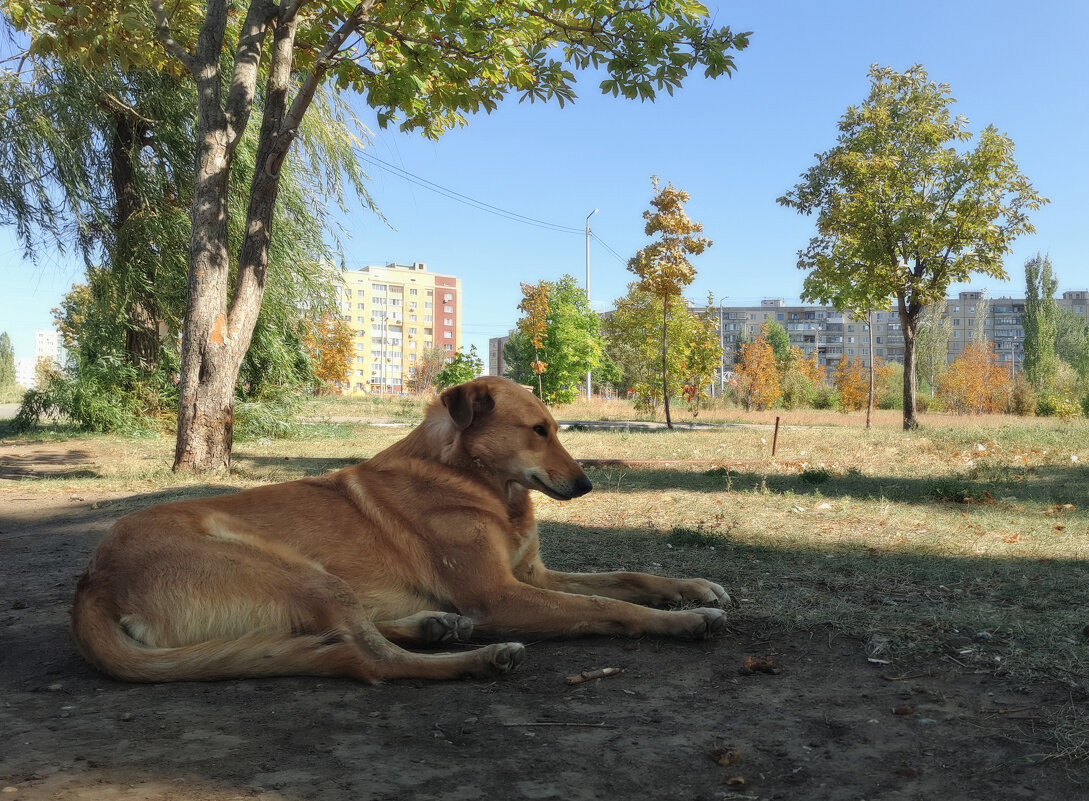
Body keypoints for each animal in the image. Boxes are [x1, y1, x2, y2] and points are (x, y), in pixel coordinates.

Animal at [72, 376, 727, 683]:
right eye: (538, 431)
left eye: (556, 428)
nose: (588, 485)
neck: (473, 481)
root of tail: (92, 581)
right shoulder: (502, 595)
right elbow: (609, 606)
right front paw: (687, 620)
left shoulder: (532, 575)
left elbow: (627, 576)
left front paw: (694, 588)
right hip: (295, 568)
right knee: (366, 657)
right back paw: (478, 658)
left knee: (339, 635)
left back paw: (436, 626)